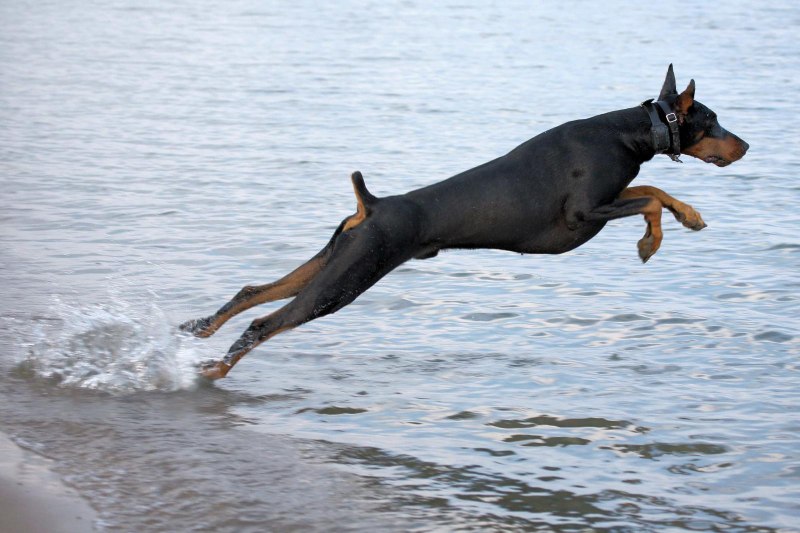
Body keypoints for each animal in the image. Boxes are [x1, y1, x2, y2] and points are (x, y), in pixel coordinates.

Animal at [181, 64, 752, 376]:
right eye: (713, 121)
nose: (746, 145)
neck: (630, 133)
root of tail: (373, 204)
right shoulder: (583, 214)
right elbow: (650, 199)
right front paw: (651, 242)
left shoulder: (608, 199)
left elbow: (654, 189)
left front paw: (690, 216)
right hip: (348, 280)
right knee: (267, 322)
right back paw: (213, 371)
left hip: (336, 258)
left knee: (253, 291)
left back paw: (200, 328)